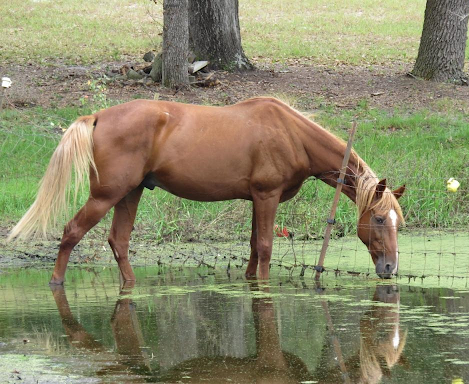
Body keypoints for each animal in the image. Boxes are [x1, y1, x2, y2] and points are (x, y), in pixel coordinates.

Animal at [7, 97, 404, 284]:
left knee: (118, 241)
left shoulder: (255, 200)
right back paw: (56, 283)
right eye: (378, 219)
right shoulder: (267, 196)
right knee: (72, 232)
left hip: (131, 193)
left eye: (398, 221)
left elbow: (252, 247)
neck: (291, 134)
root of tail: (99, 116)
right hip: (106, 196)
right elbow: (265, 247)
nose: (389, 268)